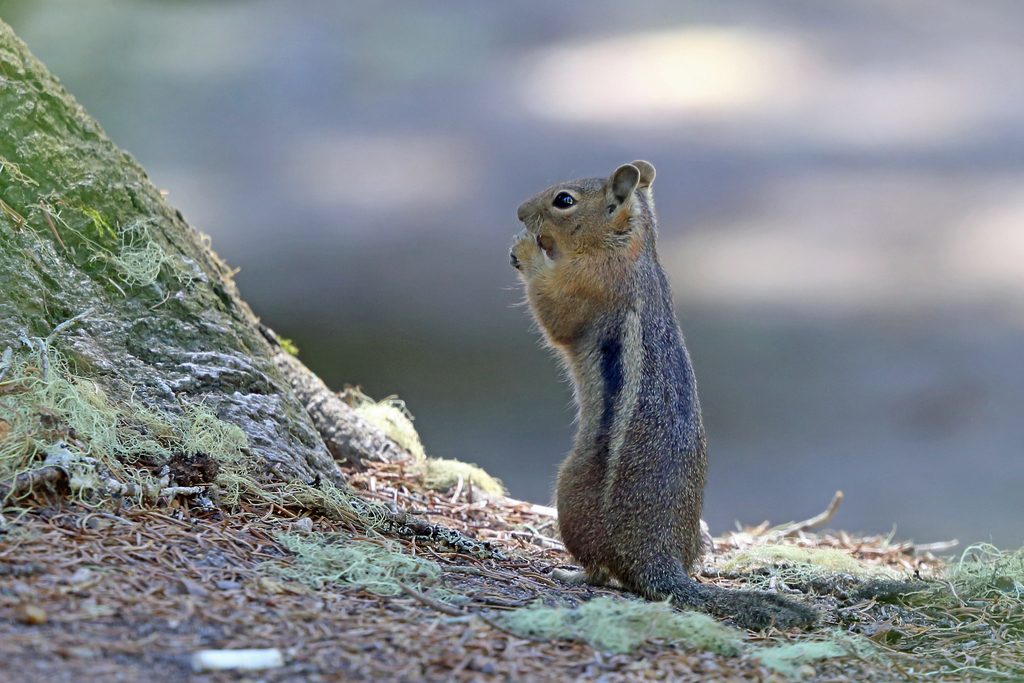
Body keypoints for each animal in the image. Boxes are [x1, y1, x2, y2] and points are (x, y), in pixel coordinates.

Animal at [510, 161, 816, 630]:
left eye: (564, 200)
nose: (521, 212)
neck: (629, 248)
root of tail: (657, 556)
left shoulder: (588, 284)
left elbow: (554, 311)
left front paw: (525, 250)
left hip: (570, 492)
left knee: (601, 570)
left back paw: (569, 572)